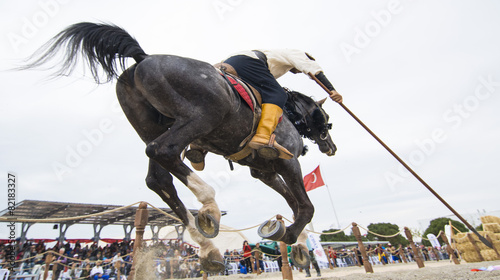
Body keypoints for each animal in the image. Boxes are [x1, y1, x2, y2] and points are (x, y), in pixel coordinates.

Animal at [23, 21, 336, 272]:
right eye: (327, 120)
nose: (330, 146)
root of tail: (144, 58)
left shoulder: (265, 171)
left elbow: (293, 202)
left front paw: (299, 246)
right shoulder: (288, 162)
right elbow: (305, 206)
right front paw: (291, 235)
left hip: (156, 128)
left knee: (158, 177)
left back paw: (208, 247)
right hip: (201, 118)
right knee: (163, 152)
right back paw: (209, 207)